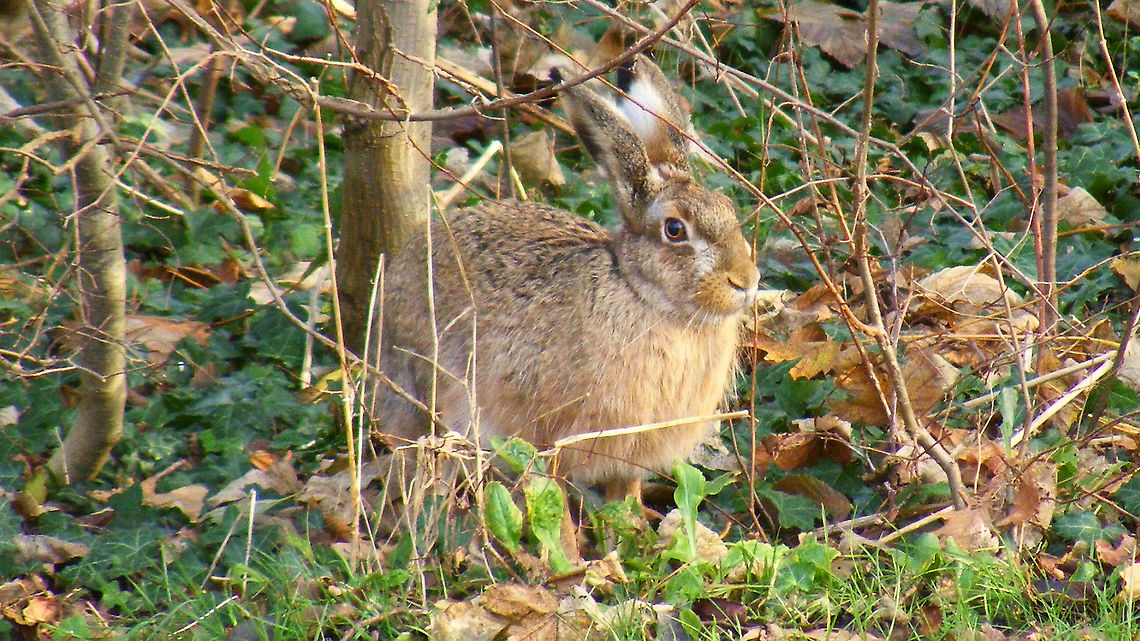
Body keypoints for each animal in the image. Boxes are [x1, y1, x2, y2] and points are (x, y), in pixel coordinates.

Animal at [371, 54, 760, 504]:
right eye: (675, 230)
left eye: (728, 209)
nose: (746, 282)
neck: (643, 296)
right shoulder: (555, 437)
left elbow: (625, 501)